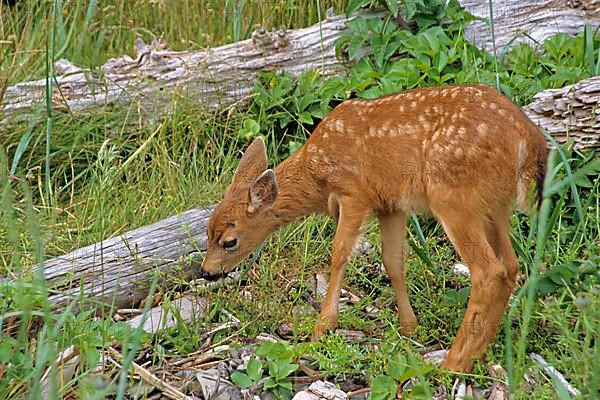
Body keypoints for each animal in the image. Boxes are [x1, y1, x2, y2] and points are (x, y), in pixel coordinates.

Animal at [200, 83, 548, 372]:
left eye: (229, 241)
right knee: (511, 265)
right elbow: (393, 262)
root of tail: (528, 139)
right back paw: (478, 352)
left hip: (453, 197)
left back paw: (454, 362)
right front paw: (409, 327)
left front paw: (323, 326)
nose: (207, 271)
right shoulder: (390, 205)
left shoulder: (355, 193)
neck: (316, 175)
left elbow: (339, 254)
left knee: (489, 272)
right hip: (493, 206)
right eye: (207, 231)